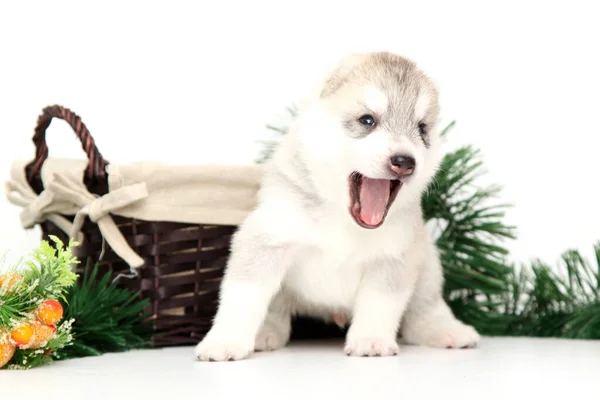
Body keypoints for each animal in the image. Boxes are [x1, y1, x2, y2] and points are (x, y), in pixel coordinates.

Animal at [195, 51, 480, 360]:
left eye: (422, 128)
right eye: (367, 120)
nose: (405, 162)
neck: (341, 217)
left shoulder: (393, 258)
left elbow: (380, 305)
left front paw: (371, 340)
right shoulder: (265, 240)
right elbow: (243, 298)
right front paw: (225, 341)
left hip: (427, 262)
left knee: (424, 310)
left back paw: (447, 330)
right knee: (276, 311)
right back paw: (266, 333)